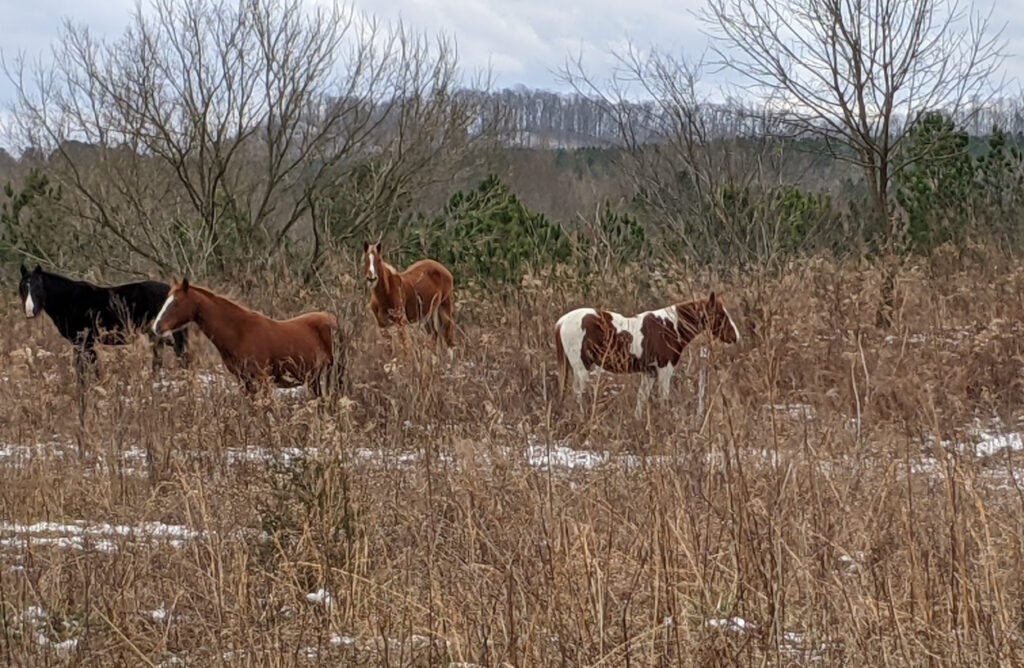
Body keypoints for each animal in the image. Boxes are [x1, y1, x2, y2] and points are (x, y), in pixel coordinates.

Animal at [17, 264, 190, 379]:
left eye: (39, 287)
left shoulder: (85, 341)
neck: (70, 300)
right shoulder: (80, 343)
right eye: (23, 288)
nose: (30, 312)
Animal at [150, 278, 344, 397]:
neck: (240, 333)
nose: (157, 327)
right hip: (314, 379)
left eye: (176, 302)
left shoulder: (263, 379)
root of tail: (332, 319)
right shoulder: (243, 381)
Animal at [557, 293, 741, 418]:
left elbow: (641, 399)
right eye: (721, 315)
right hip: (582, 368)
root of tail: (562, 321)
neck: (670, 328)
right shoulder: (664, 370)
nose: (736, 336)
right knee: (578, 394)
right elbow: (663, 398)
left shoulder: (649, 373)